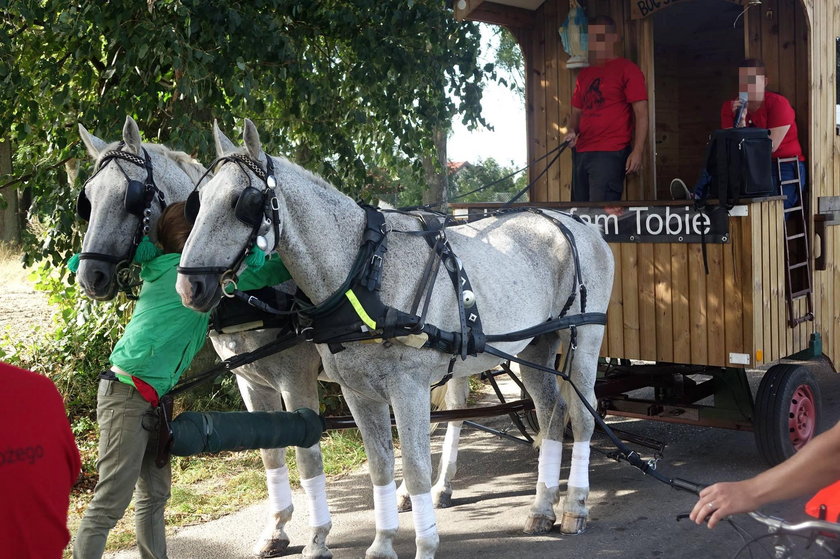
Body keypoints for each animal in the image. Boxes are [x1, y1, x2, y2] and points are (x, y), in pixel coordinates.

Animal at [176, 120, 612, 556]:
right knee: (551, 413)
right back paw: (541, 508)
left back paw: (574, 506)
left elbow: (413, 469)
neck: (364, 273)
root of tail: (576, 224)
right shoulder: (353, 393)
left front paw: (421, 543)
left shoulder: (399, 389)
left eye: (242, 201)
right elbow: (379, 466)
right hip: (536, 345)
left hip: (584, 339)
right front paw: (383, 542)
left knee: (582, 414)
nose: (189, 287)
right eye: (198, 202)